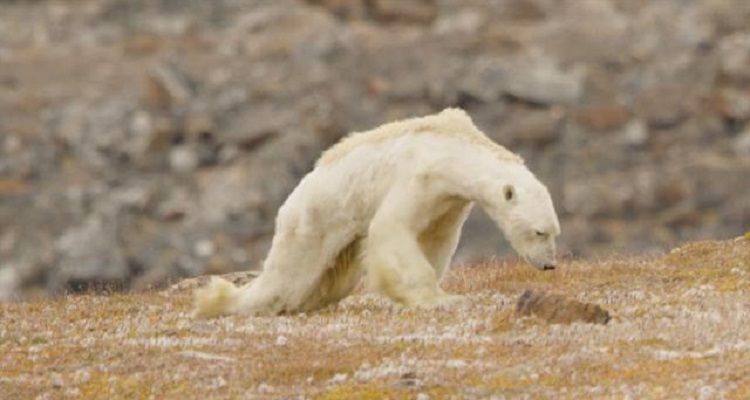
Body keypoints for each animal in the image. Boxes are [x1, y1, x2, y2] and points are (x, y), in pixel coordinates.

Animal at [197, 108, 560, 318]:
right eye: (539, 232)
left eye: (554, 232)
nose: (549, 265)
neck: (453, 148)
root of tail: (290, 201)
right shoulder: (418, 176)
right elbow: (392, 228)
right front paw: (439, 299)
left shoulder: (449, 201)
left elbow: (436, 239)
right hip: (313, 220)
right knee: (287, 279)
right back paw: (218, 302)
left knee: (330, 281)